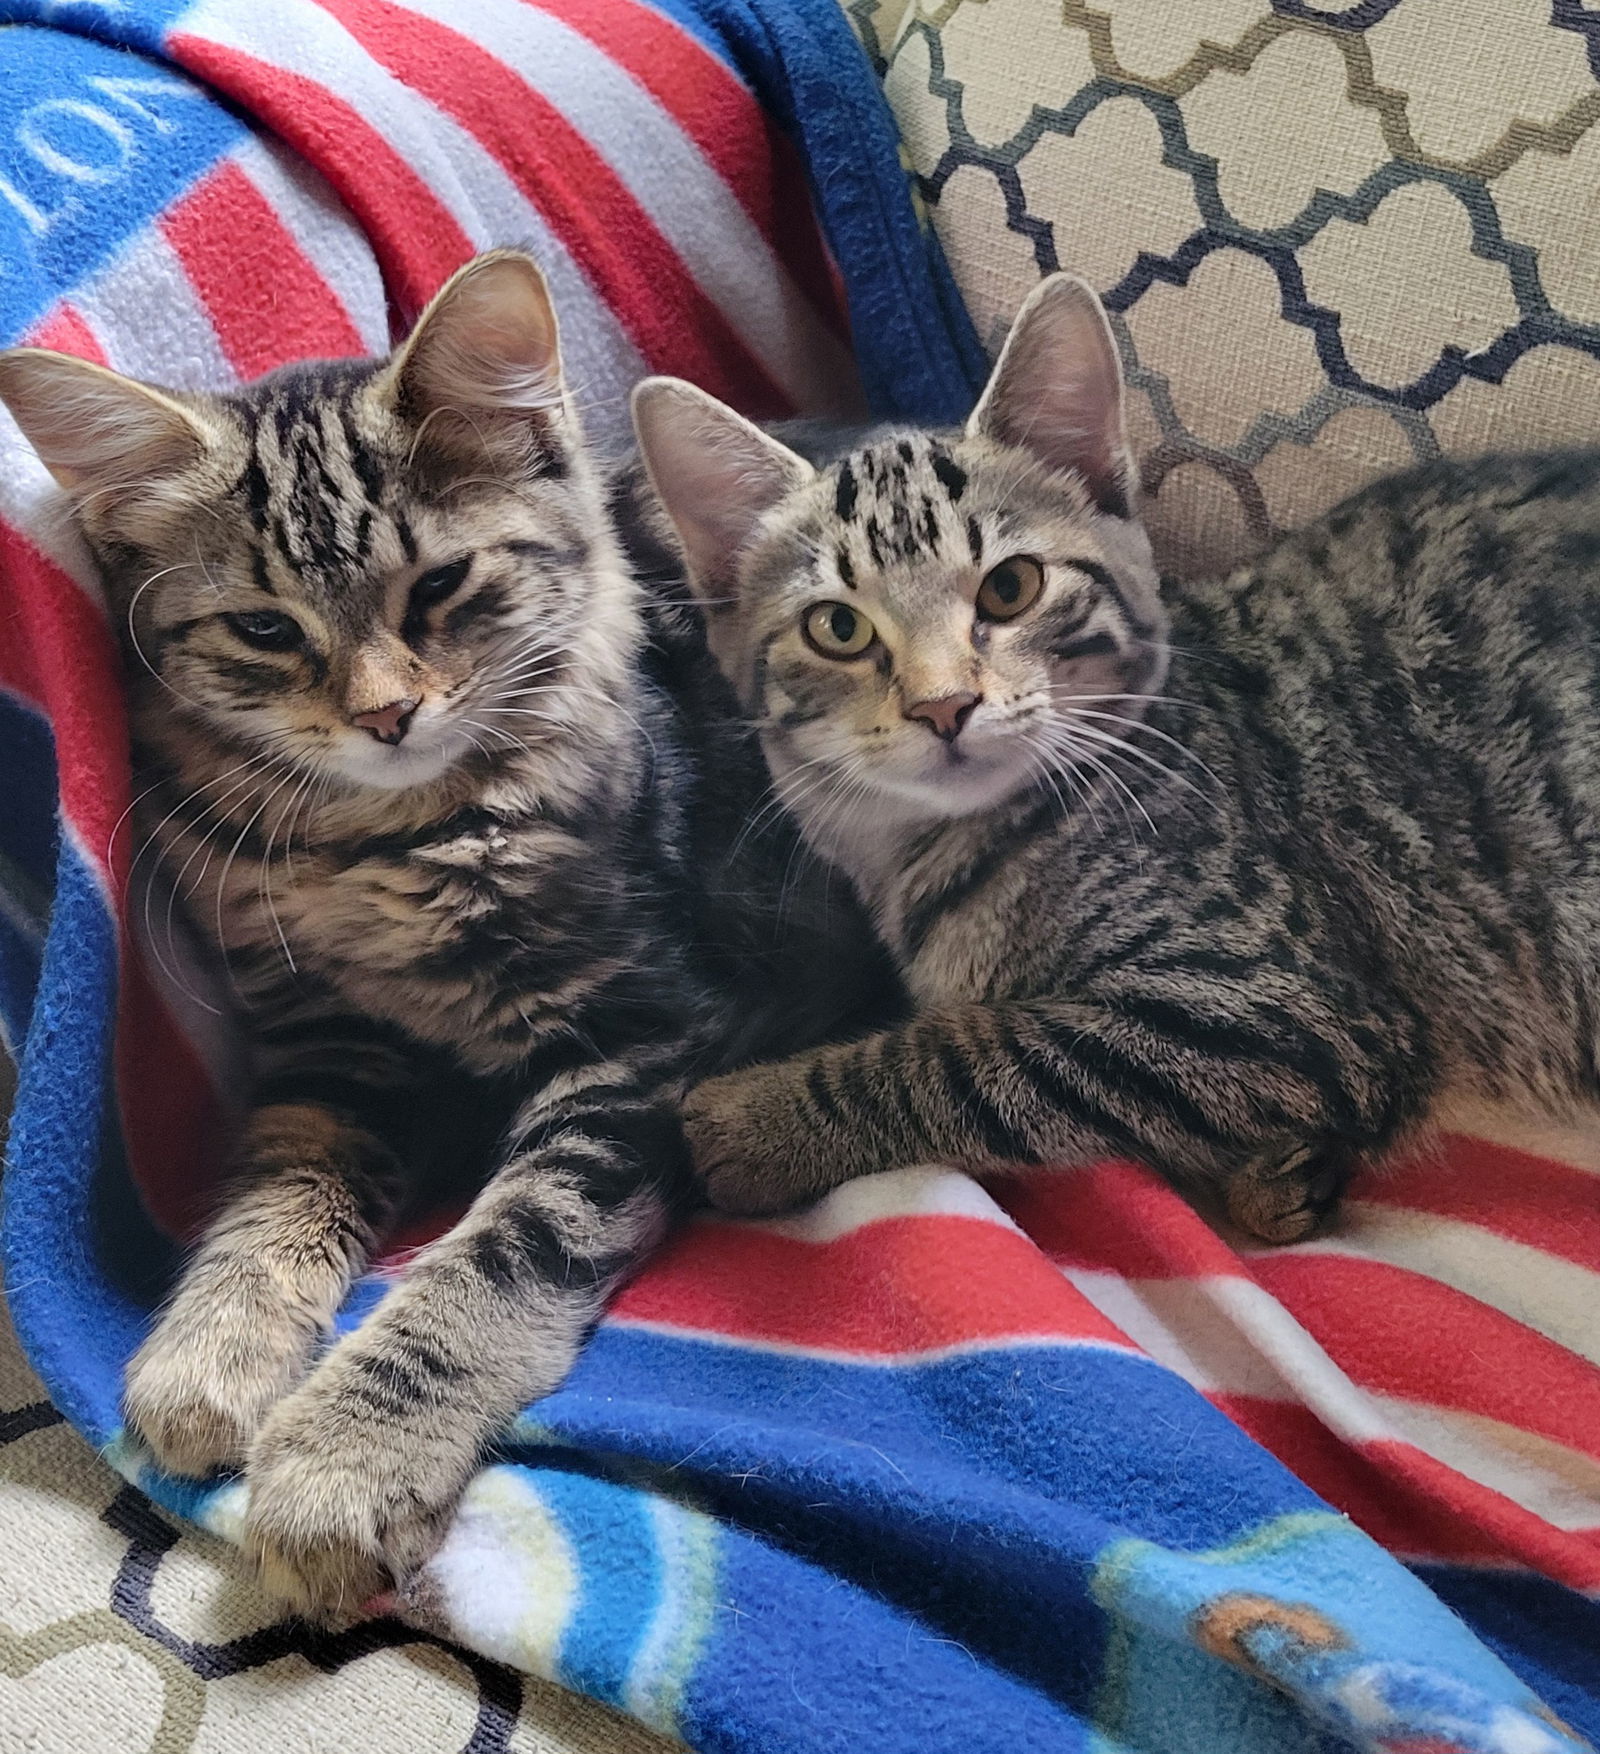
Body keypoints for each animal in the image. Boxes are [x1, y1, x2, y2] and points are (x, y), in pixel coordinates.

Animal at [0, 247, 887, 1613]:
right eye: (266, 629)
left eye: (441, 587)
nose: (385, 715)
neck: (392, 841)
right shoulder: (327, 1042)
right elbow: (276, 1190)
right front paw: (211, 1348)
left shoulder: (642, 1035)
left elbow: (501, 1254)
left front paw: (343, 1458)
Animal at [628, 270, 1600, 1234]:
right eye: (838, 628)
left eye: (1011, 588)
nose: (944, 705)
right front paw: (1288, 1173)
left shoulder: (1278, 1004)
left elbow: (976, 1054)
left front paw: (757, 1118)